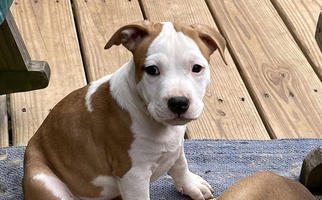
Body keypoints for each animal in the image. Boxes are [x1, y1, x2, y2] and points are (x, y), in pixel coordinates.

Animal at [22, 20, 226, 200]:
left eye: (197, 68)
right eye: (152, 70)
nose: (178, 102)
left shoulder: (176, 145)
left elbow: (180, 164)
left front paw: (191, 184)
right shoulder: (133, 174)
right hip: (43, 182)